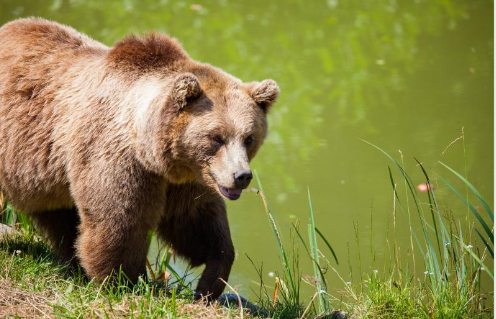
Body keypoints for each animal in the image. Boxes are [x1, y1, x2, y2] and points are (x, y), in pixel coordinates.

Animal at [0, 17, 280, 302]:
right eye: (216, 137)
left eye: (249, 137)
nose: (241, 176)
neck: (151, 150)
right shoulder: (117, 158)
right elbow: (119, 221)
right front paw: (121, 282)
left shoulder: (186, 179)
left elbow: (196, 223)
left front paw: (210, 282)